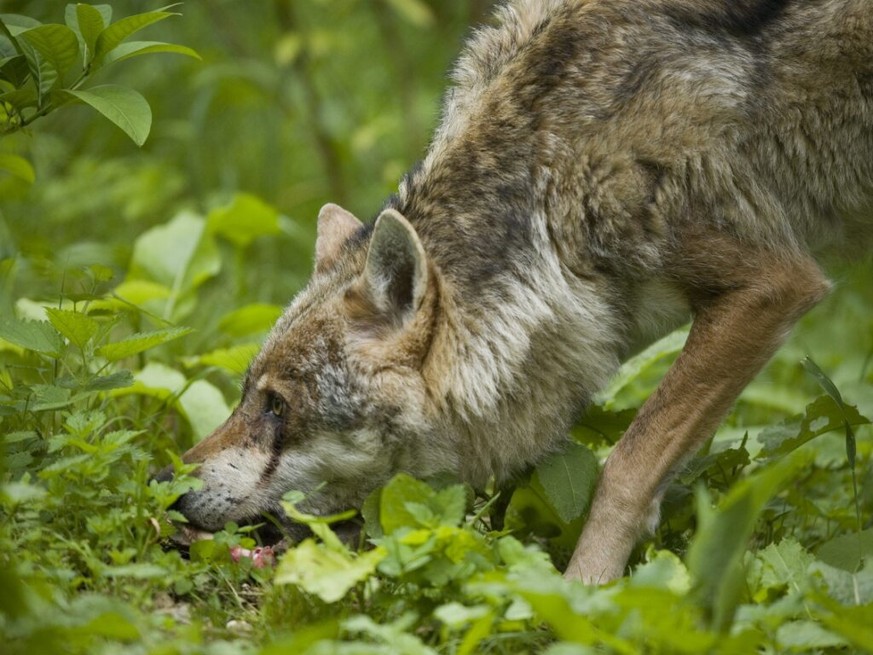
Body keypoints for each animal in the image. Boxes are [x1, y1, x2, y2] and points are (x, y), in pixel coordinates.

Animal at [160, 0, 872, 584]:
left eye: (278, 406)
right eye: (246, 396)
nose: (164, 484)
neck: (547, 181)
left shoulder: (771, 285)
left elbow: (624, 469)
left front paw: (586, 595)